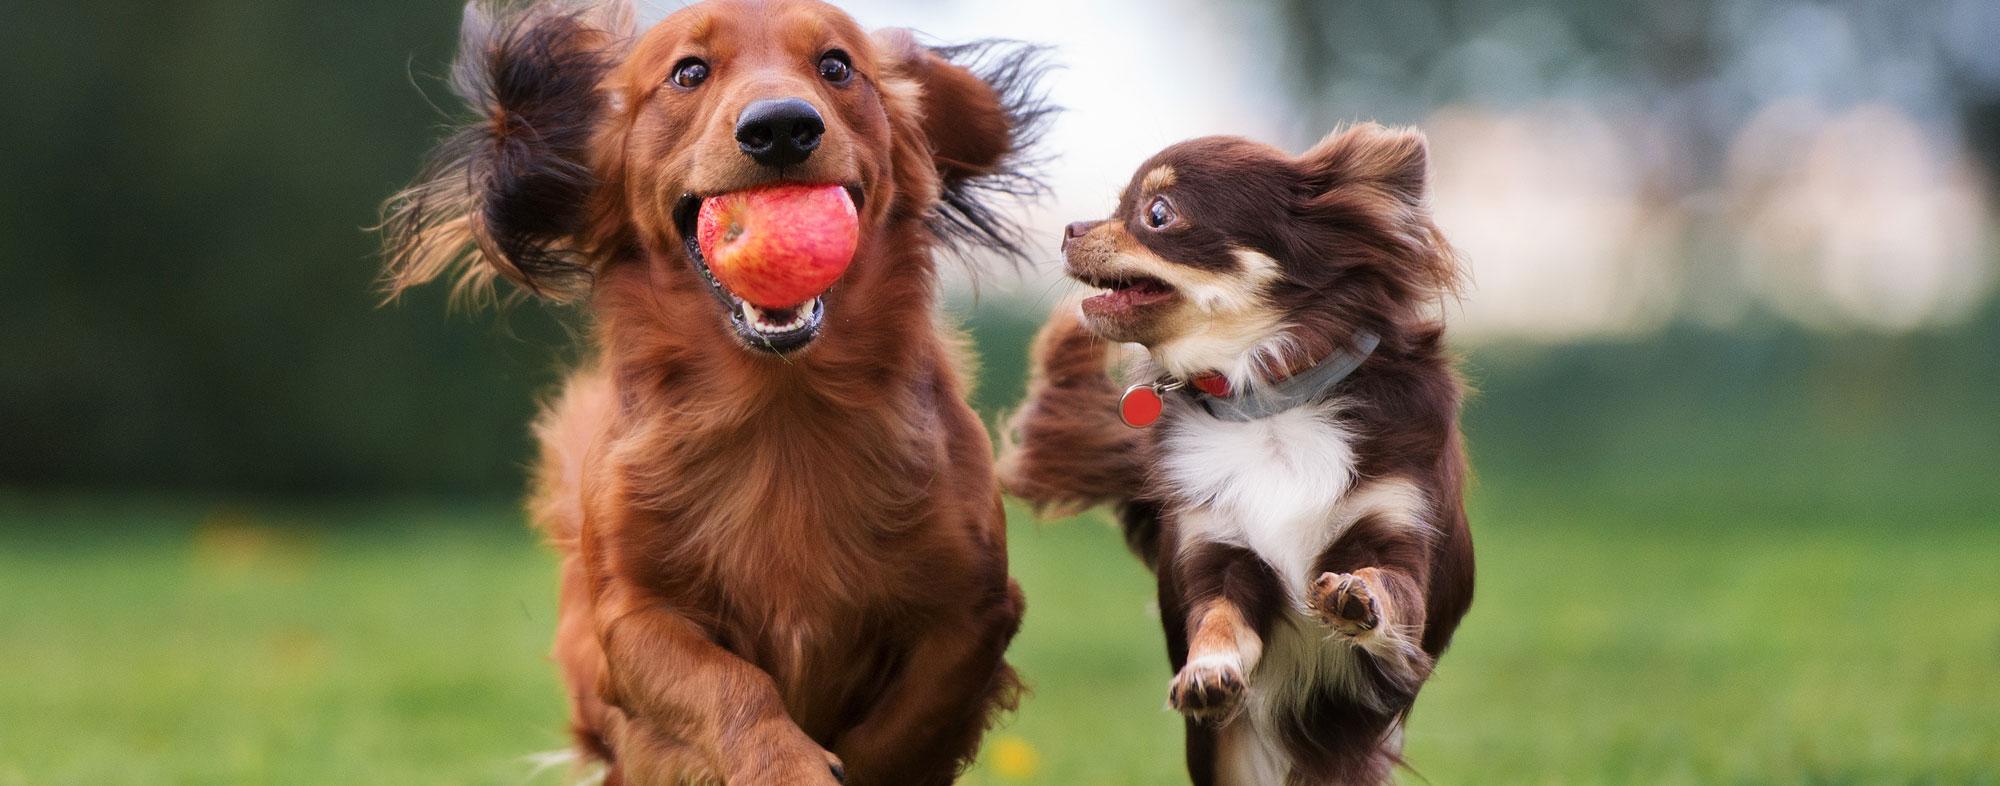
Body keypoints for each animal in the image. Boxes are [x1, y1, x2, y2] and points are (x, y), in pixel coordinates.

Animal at [382, 1, 1056, 784]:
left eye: (836, 65)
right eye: (689, 71)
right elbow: (728, 684)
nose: (782, 127)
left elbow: (908, 723)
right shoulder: (634, 618)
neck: (782, 408)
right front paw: (786, 765)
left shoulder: (974, 609)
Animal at [1008, 125, 1480, 780]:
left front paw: (1354, 595)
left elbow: (1387, 585)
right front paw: (1207, 672)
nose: (1071, 228)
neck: (1267, 404)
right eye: (1116, 205)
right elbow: (1217, 622)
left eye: (1157, 214)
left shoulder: (1399, 541)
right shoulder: (1220, 558)